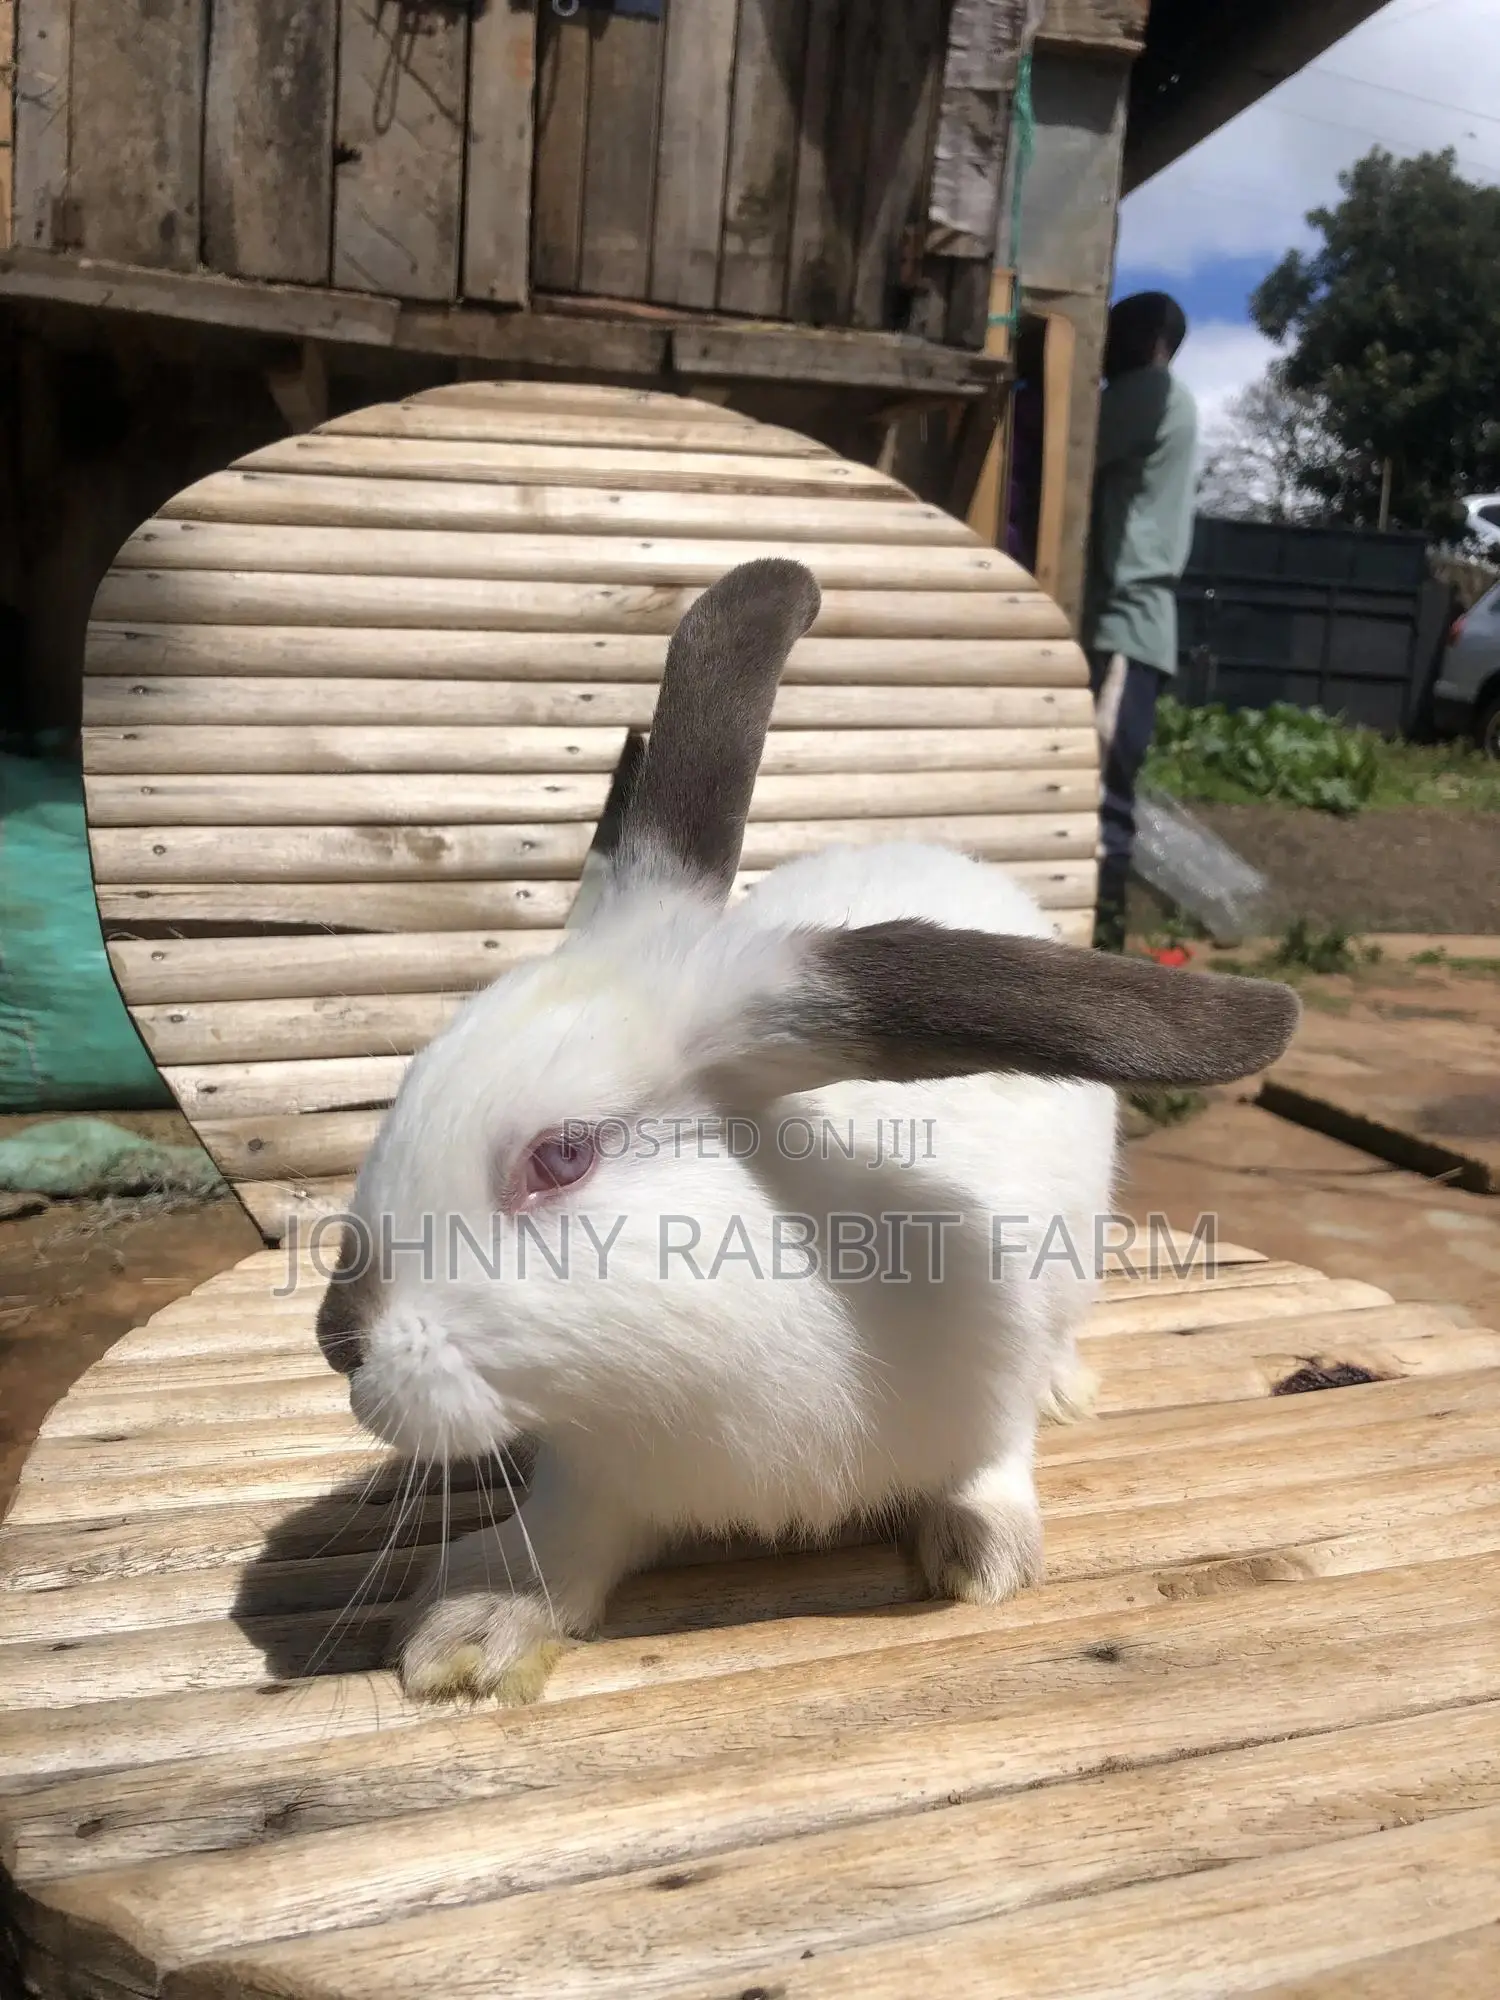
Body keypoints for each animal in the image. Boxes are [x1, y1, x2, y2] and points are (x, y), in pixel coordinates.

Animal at [315, 557, 1299, 1704]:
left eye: (561, 1157)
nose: (336, 1339)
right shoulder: (601, 1469)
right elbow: (562, 1533)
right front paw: (470, 1630)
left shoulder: (988, 1390)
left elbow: (991, 1462)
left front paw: (985, 1555)